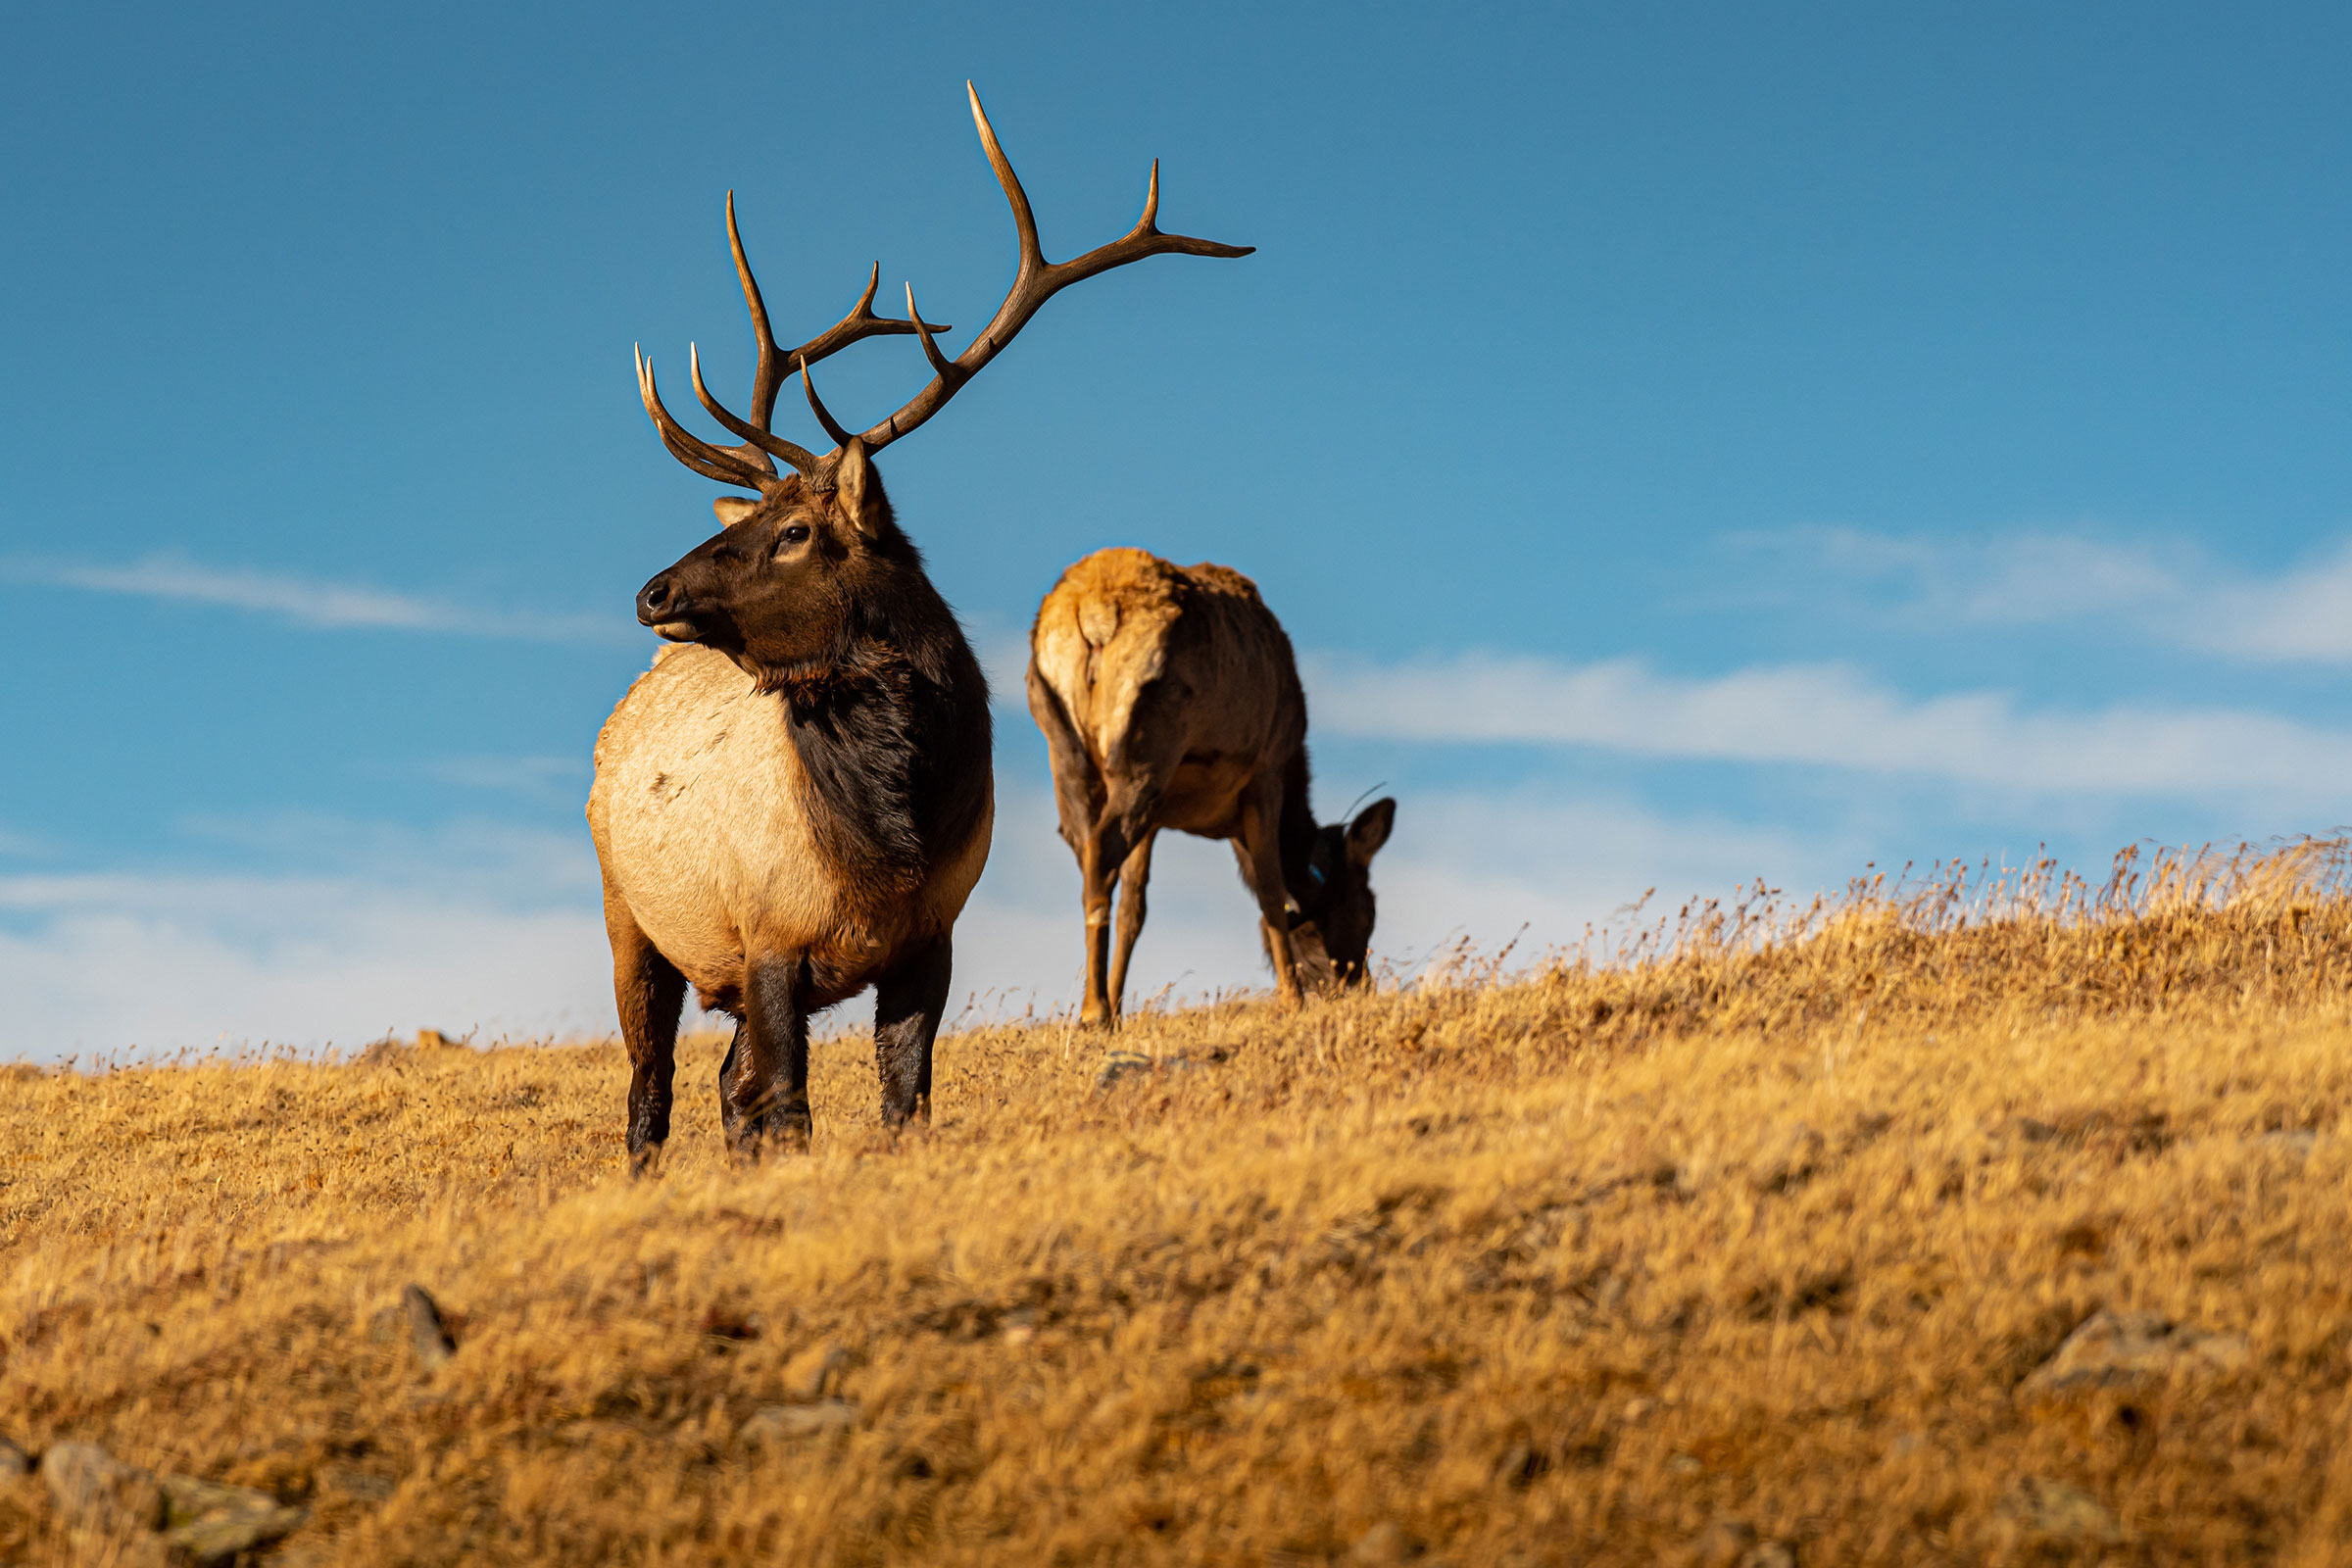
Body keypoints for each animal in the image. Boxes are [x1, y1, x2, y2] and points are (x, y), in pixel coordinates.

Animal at [588, 87, 1252, 1168]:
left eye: (796, 532)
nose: (653, 592)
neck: (887, 841)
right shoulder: (766, 933)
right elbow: (790, 1105)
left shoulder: (930, 937)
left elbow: (902, 1101)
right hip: (630, 916)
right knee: (653, 1089)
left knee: (722, 1084)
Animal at [1027, 547, 1397, 1027]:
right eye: (1367, 906)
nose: (1359, 983)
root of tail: (1094, 616)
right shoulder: (1265, 770)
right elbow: (1270, 889)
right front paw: (1290, 998)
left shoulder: (1160, 819)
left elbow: (1134, 909)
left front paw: (1121, 1003)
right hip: (1150, 739)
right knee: (1104, 850)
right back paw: (1094, 1010)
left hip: (1064, 747)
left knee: (1088, 851)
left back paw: (1099, 1008)